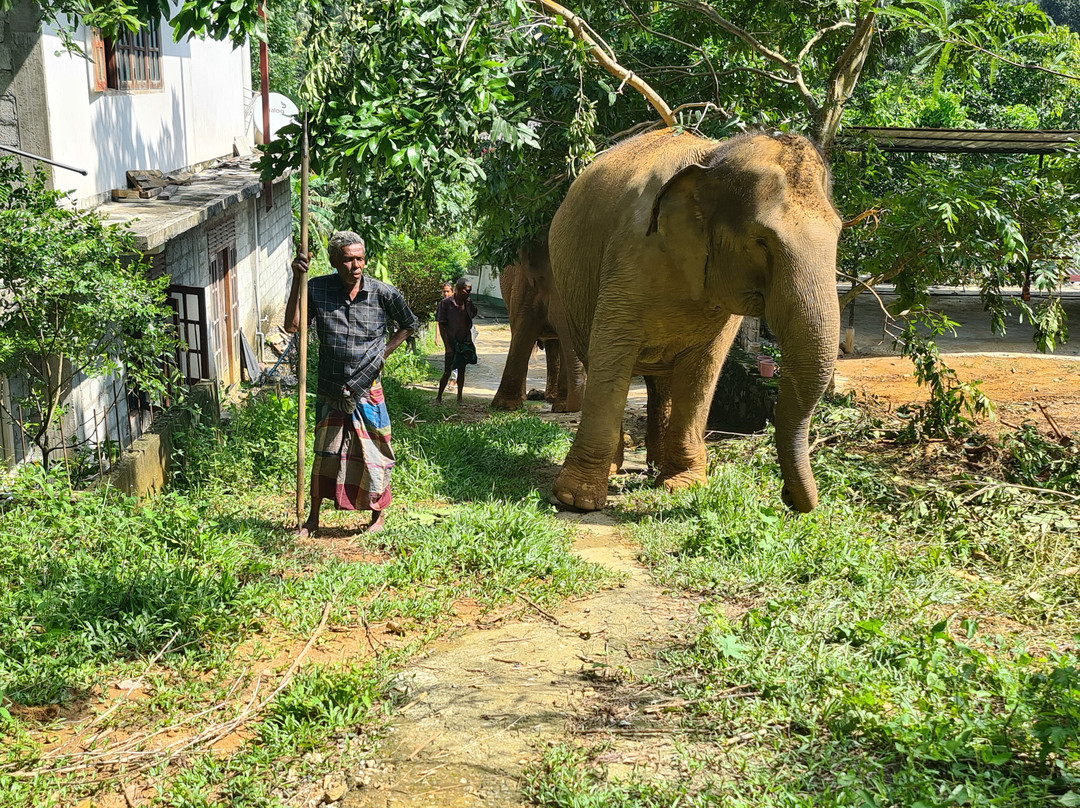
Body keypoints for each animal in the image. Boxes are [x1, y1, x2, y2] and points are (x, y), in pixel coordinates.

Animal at [548, 128, 841, 513]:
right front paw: (576, 499)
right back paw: (617, 467)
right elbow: (612, 355)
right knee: (599, 360)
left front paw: (682, 487)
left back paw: (656, 467)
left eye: (839, 233)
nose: (788, 497)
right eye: (761, 241)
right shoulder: (629, 254)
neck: (710, 161)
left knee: (663, 382)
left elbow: (703, 369)